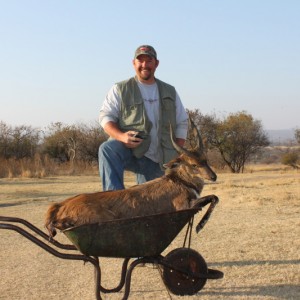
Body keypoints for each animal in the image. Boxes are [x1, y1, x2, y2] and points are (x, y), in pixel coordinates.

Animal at [44, 118, 218, 238]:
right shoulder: (184, 206)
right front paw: (199, 226)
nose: (213, 176)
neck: (179, 181)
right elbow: (213, 198)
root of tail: (60, 205)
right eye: (194, 164)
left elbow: (214, 198)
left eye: (206, 160)